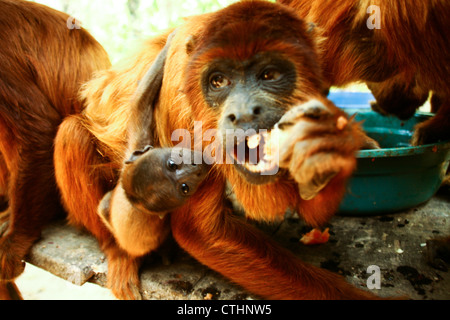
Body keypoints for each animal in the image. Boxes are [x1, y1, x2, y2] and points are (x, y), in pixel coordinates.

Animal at [53, 0, 376, 300]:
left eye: (269, 75)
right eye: (218, 81)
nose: (243, 114)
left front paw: (330, 146)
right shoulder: (176, 87)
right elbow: (200, 231)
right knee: (71, 133)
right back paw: (120, 253)